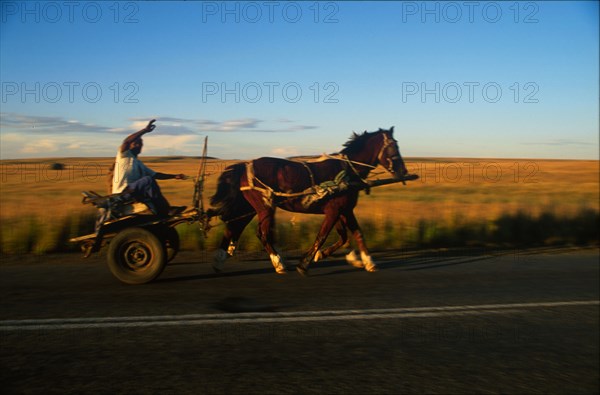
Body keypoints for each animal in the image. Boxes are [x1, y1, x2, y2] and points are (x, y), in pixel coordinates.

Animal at [209, 127, 410, 276]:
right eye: (393, 146)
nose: (403, 171)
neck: (345, 171)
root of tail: (245, 165)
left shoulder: (345, 210)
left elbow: (354, 235)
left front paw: (366, 261)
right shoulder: (334, 211)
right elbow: (322, 236)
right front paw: (304, 263)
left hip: (250, 207)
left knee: (234, 227)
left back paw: (219, 260)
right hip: (264, 207)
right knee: (262, 234)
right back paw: (279, 263)